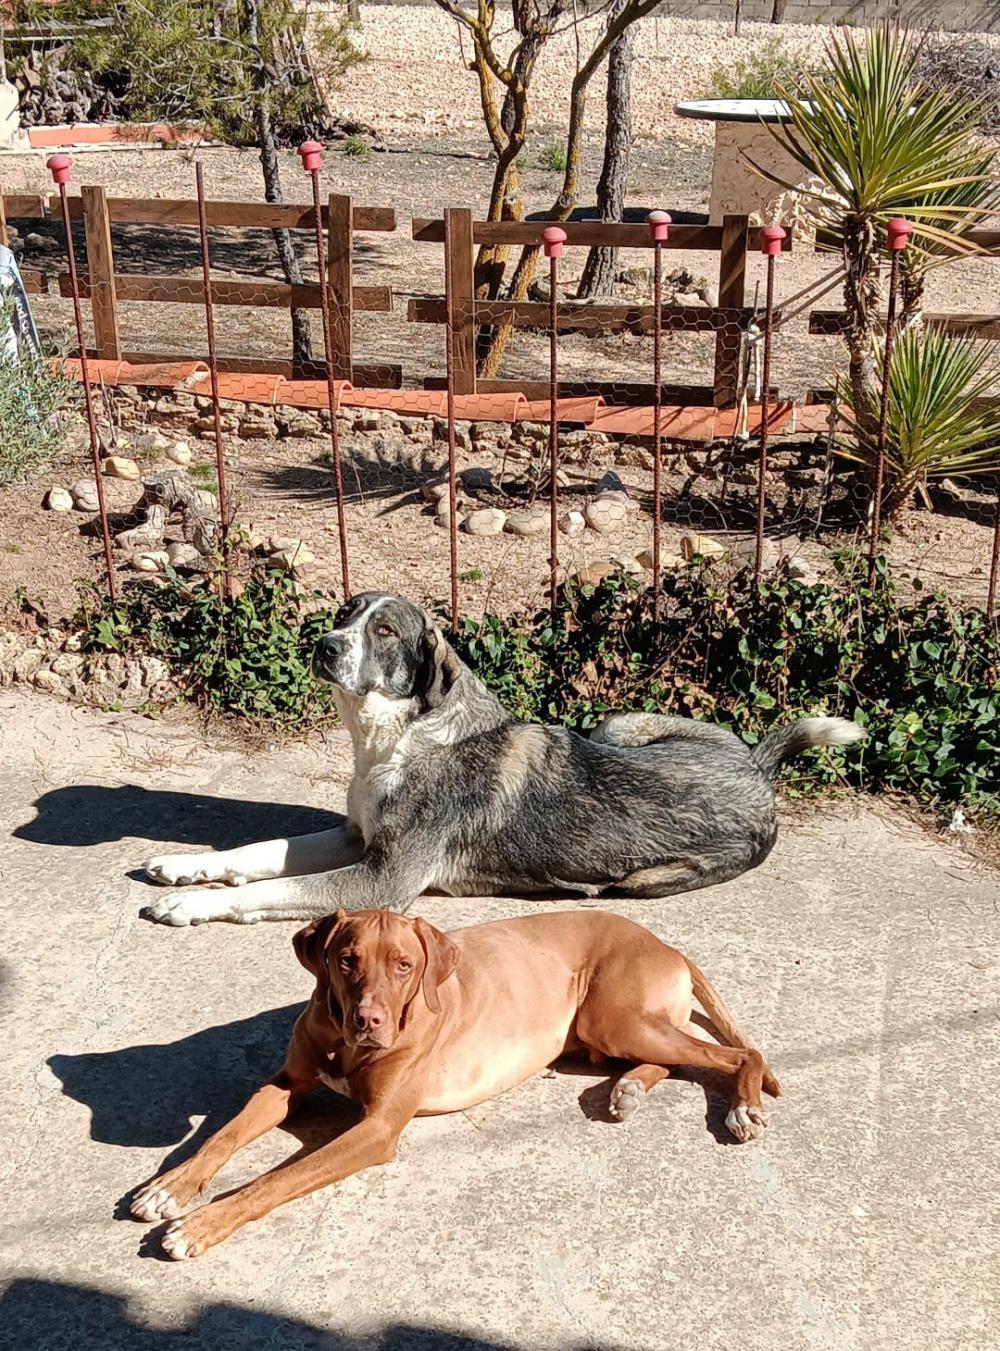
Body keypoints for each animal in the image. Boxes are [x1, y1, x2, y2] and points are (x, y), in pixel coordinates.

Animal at [131, 907, 783, 1253]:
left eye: (404, 966)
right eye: (346, 960)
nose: (368, 1021)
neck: (346, 1044)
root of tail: (665, 942)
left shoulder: (376, 1130)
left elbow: (273, 1181)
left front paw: (201, 1224)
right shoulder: (283, 1085)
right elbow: (220, 1137)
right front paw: (169, 1187)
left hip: (615, 1016)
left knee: (738, 1052)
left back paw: (742, 1108)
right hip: (610, 1032)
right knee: (673, 1059)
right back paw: (626, 1091)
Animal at [142, 594, 864, 929]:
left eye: (383, 631)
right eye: (345, 614)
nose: (323, 644)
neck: (398, 739)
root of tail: (758, 770)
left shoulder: (381, 882)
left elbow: (271, 887)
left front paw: (193, 904)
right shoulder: (355, 838)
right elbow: (257, 853)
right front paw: (184, 868)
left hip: (641, 878)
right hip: (617, 722)